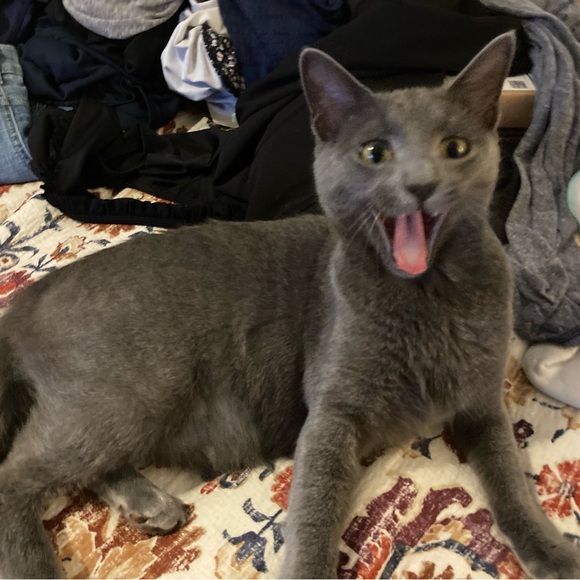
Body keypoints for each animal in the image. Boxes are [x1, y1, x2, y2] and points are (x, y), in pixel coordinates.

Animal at [0, 31, 579, 579]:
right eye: (374, 153)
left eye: (455, 148)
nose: (420, 184)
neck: (426, 299)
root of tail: (27, 299)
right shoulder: (329, 416)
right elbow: (314, 515)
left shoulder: (482, 402)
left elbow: (509, 477)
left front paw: (551, 551)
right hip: (137, 388)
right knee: (15, 472)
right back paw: (42, 565)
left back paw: (149, 504)